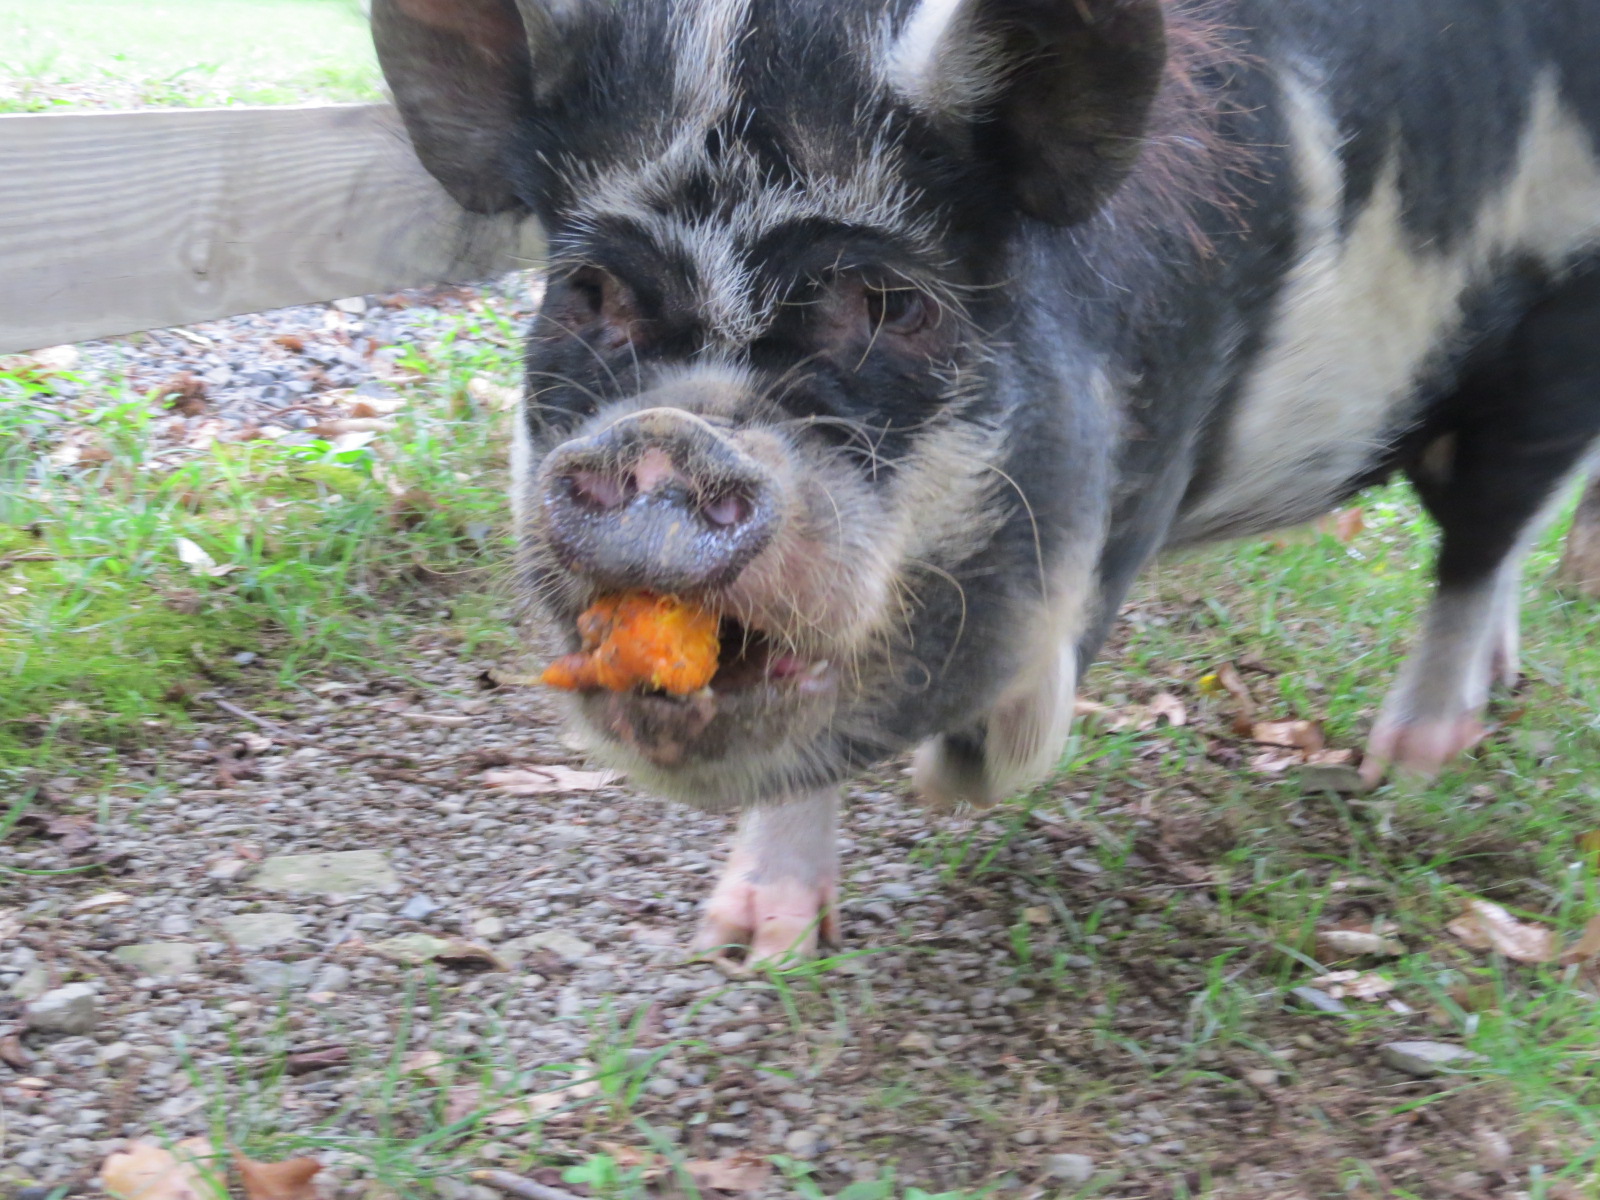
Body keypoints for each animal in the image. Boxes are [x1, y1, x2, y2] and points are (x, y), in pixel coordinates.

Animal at [373, 0, 1600, 959]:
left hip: (1549, 337)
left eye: (890, 304)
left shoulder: (1142, 467)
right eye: (589, 292)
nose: (669, 438)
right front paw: (750, 945)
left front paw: (954, 774)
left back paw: (1412, 767)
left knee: (1488, 532)